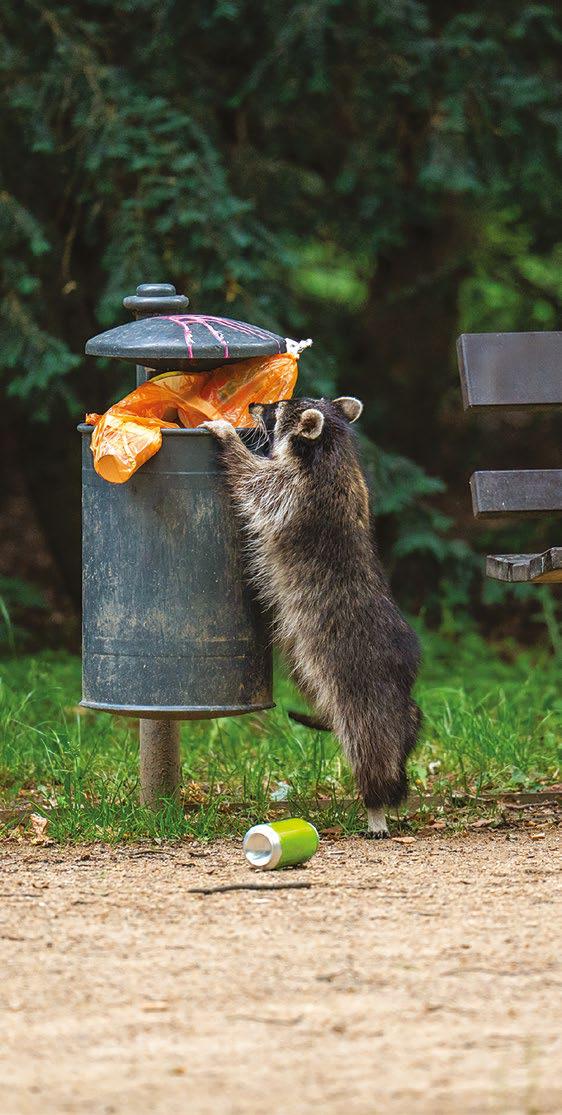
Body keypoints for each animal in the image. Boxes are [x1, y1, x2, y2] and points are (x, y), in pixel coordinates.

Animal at [202, 397, 421, 837]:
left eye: (275, 409)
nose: (255, 405)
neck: (330, 447)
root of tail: (402, 682)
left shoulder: (293, 492)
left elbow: (251, 482)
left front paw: (230, 439)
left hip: (358, 685)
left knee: (370, 746)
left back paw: (375, 803)